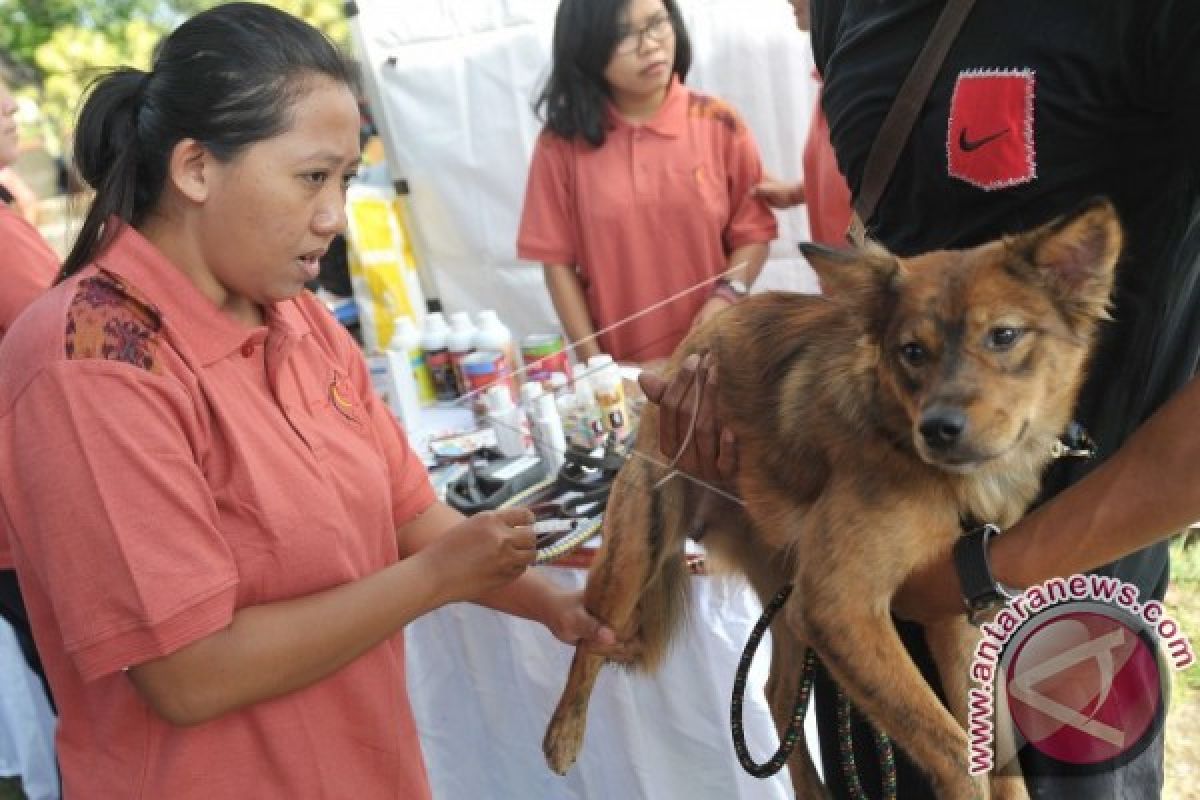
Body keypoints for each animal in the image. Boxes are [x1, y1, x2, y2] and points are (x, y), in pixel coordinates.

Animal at [540, 196, 1118, 796]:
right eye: (912, 351)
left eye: (1004, 336)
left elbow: (988, 745)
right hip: (640, 547)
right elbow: (954, 753)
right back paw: (563, 732)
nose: (938, 429)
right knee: (590, 636)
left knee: (773, 689)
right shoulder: (838, 607)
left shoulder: (950, 603)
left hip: (787, 591)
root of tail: (685, 351)